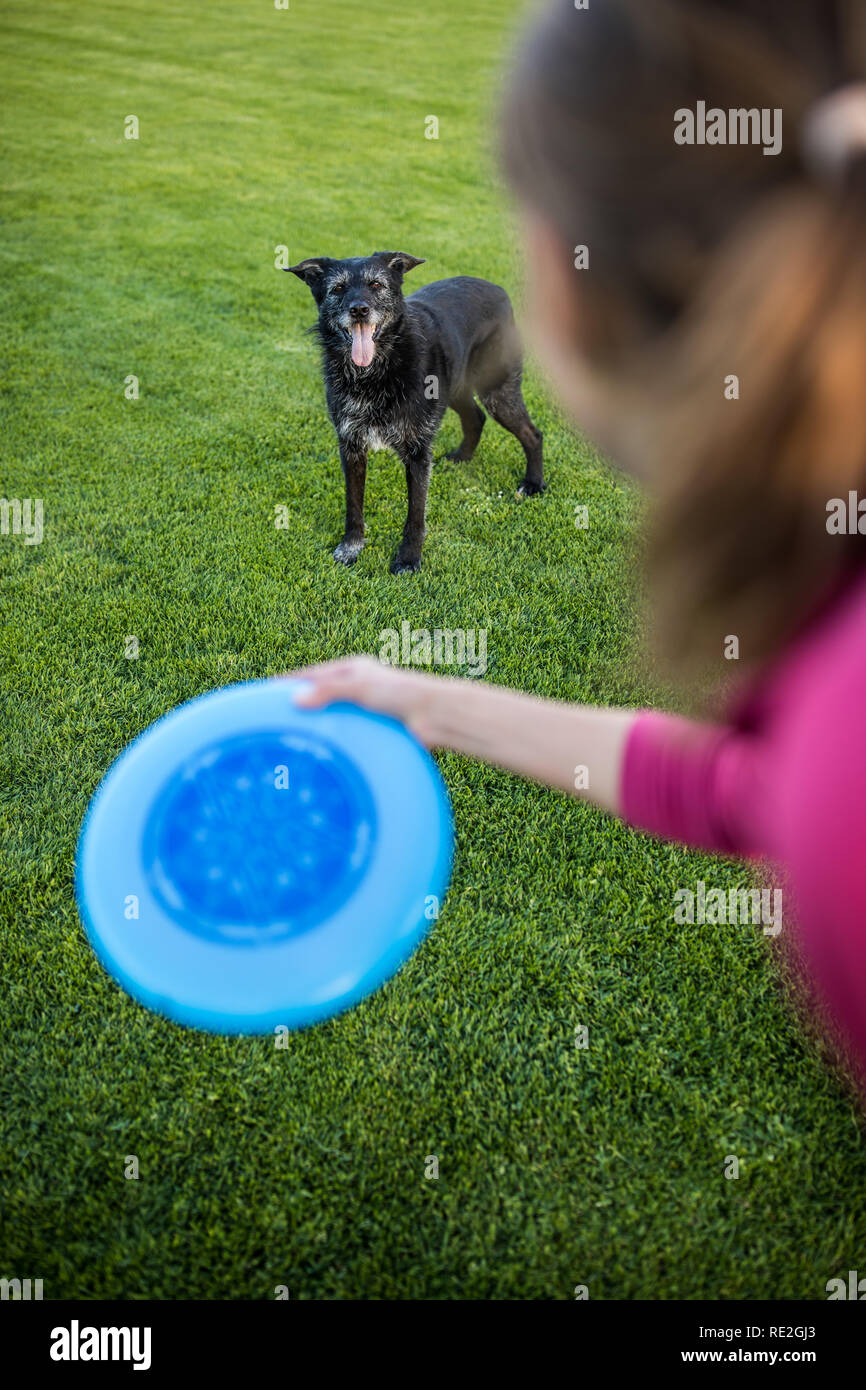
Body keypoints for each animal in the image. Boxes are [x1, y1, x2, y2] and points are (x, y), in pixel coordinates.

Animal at [286, 252, 542, 572]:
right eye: (338, 288)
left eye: (376, 284)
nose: (359, 310)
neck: (376, 372)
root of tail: (499, 290)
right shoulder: (351, 446)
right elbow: (353, 505)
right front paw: (351, 547)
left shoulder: (418, 451)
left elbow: (415, 514)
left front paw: (409, 558)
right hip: (456, 389)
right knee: (476, 417)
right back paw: (462, 457)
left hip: (497, 392)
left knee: (532, 433)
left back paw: (533, 484)